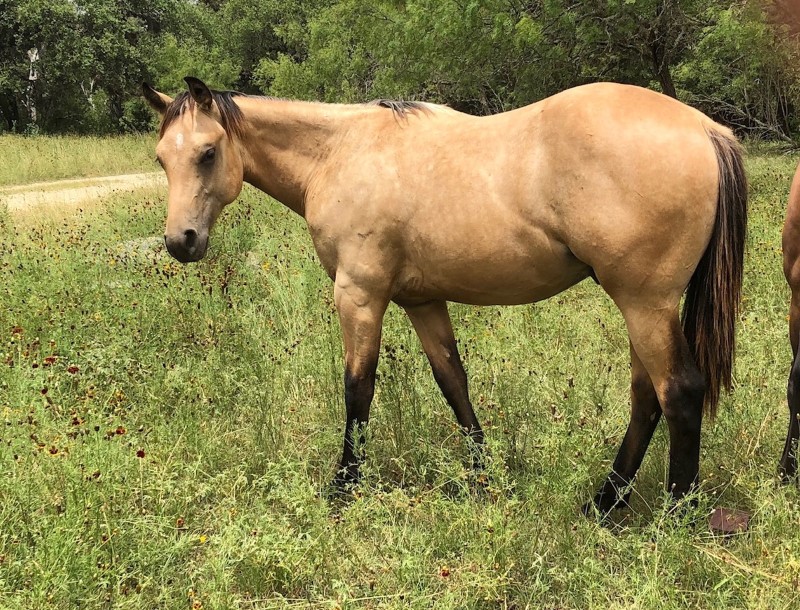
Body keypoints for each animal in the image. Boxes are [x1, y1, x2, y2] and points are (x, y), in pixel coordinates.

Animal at [141, 76, 748, 512]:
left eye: (207, 153)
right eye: (161, 158)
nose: (180, 241)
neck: (339, 153)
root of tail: (704, 129)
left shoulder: (359, 293)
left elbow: (357, 388)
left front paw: (343, 488)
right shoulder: (421, 300)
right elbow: (453, 382)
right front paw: (486, 476)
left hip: (645, 302)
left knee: (678, 392)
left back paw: (675, 514)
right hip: (644, 306)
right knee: (647, 397)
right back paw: (604, 503)